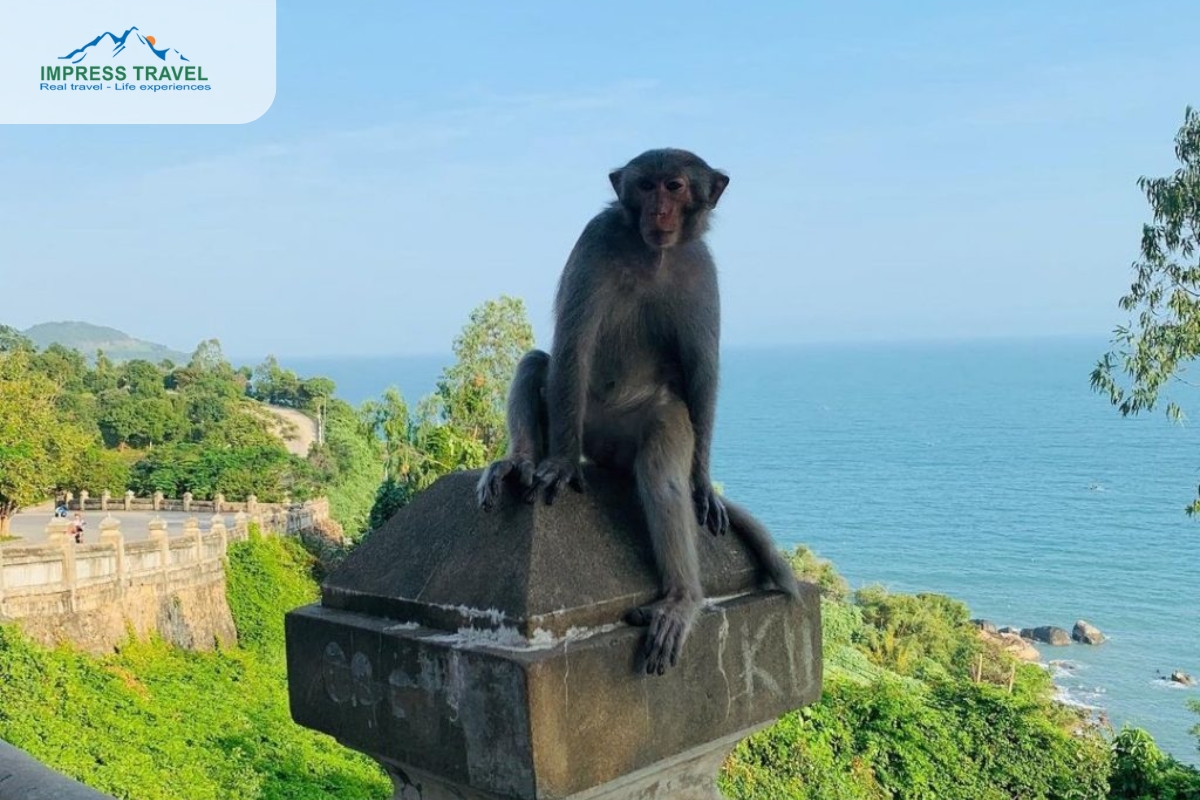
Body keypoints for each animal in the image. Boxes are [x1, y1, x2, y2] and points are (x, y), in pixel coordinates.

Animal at [475, 148, 796, 676]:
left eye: (675, 186)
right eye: (646, 186)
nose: (659, 210)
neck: (653, 254)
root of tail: (604, 449)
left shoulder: (699, 268)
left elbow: (701, 373)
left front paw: (702, 483)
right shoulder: (596, 240)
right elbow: (573, 342)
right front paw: (559, 464)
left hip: (637, 427)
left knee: (663, 470)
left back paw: (682, 599)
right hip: (581, 418)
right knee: (539, 364)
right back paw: (520, 461)